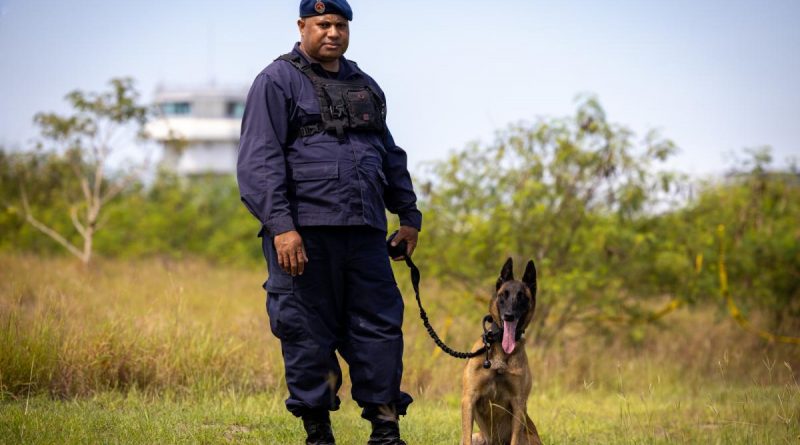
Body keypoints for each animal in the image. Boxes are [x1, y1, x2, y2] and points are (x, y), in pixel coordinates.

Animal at [462, 256, 544, 444]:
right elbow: (465, 437)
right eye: (503, 295)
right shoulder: (468, 399)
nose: (509, 316)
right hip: (478, 437)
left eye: (522, 297)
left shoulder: (518, 404)